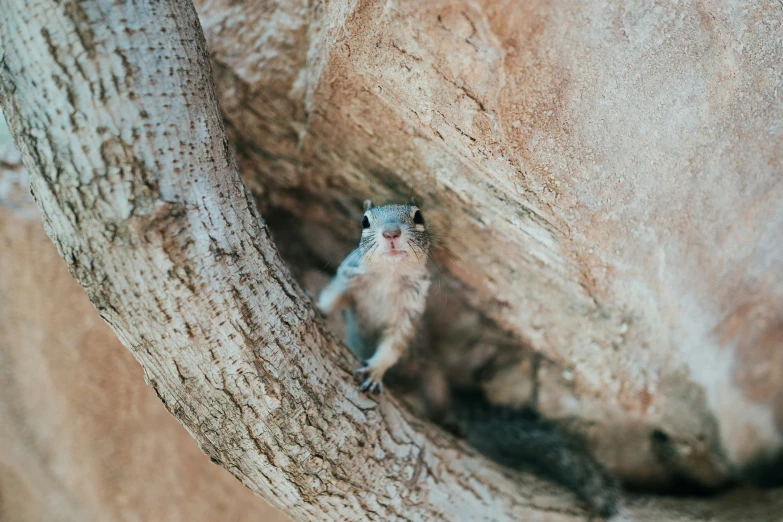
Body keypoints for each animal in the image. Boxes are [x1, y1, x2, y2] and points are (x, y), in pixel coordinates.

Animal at [316, 198, 628, 516]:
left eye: (419, 216)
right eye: (365, 221)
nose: (391, 232)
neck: (388, 279)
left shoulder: (409, 316)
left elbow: (393, 348)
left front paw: (375, 371)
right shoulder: (347, 281)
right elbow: (331, 298)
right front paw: (319, 309)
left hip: (432, 379)